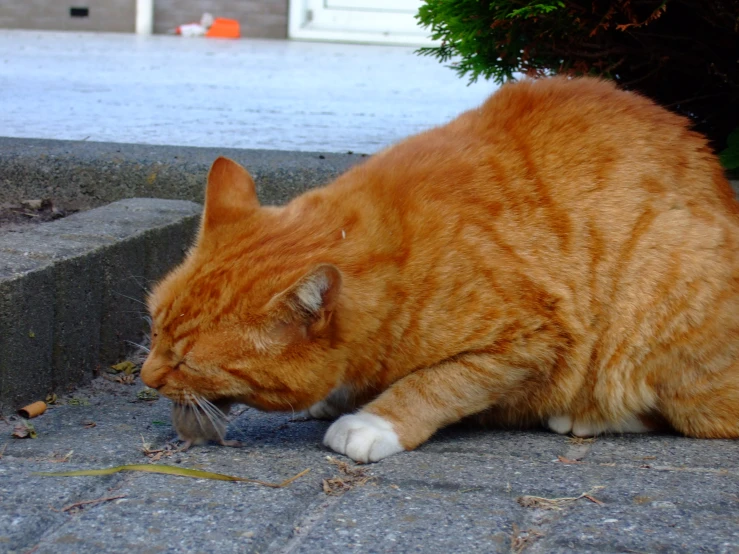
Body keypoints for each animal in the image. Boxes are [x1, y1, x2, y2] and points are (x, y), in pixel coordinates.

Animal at [140, 75, 739, 460]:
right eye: (154, 329)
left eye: (188, 361)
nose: (145, 378)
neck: (396, 251)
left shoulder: (529, 338)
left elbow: (438, 383)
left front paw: (372, 421)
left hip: (656, 304)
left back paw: (588, 415)